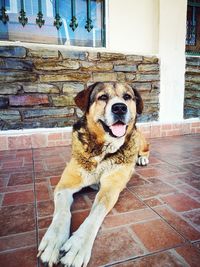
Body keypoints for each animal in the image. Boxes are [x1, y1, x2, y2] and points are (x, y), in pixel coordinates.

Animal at [38, 81, 150, 267]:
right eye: (103, 97)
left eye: (127, 97)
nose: (120, 108)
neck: (103, 151)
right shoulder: (65, 185)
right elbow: (62, 212)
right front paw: (54, 241)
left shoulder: (110, 189)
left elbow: (95, 214)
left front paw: (78, 245)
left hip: (140, 140)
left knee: (146, 149)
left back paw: (141, 159)